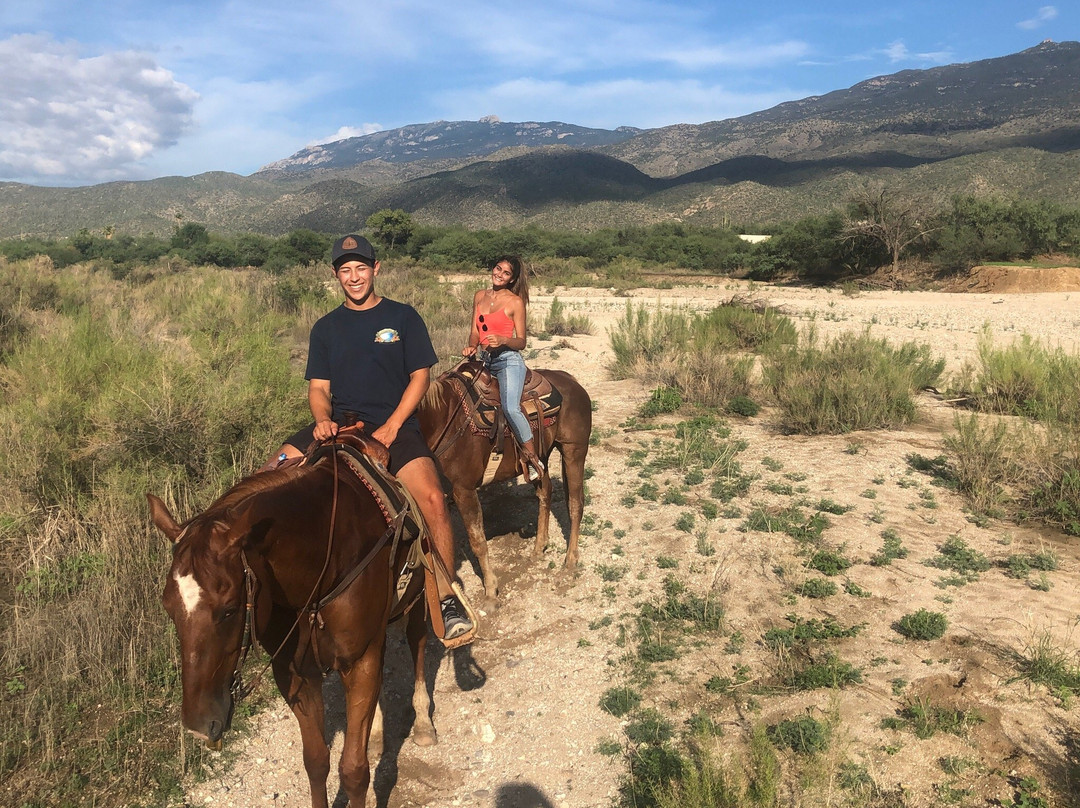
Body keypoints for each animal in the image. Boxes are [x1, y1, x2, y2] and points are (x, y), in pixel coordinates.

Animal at [151, 447, 434, 808]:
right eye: (168, 608)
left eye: (229, 610)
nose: (198, 726)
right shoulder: (296, 673)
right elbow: (316, 761)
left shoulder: (360, 662)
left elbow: (354, 771)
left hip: (419, 595)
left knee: (418, 640)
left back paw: (424, 722)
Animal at [419, 362, 591, 604]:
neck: (444, 420)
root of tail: (572, 381)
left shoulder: (464, 490)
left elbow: (478, 541)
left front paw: (491, 592)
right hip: (540, 457)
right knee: (545, 493)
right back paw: (539, 547)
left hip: (573, 449)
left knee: (575, 503)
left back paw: (570, 560)